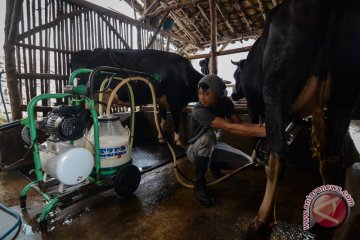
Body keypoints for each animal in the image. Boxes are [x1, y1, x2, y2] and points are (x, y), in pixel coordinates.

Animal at [70, 48, 202, 145]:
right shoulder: (175, 101)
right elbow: (176, 121)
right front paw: (178, 141)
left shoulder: (162, 101)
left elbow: (163, 120)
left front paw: (162, 137)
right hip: (88, 98)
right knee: (85, 118)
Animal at [232, 0, 358, 232]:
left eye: (236, 75)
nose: (235, 94)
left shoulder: (254, 106)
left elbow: (256, 132)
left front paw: (255, 158)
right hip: (345, 91)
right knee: (331, 157)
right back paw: (328, 210)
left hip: (276, 87)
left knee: (278, 155)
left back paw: (263, 217)